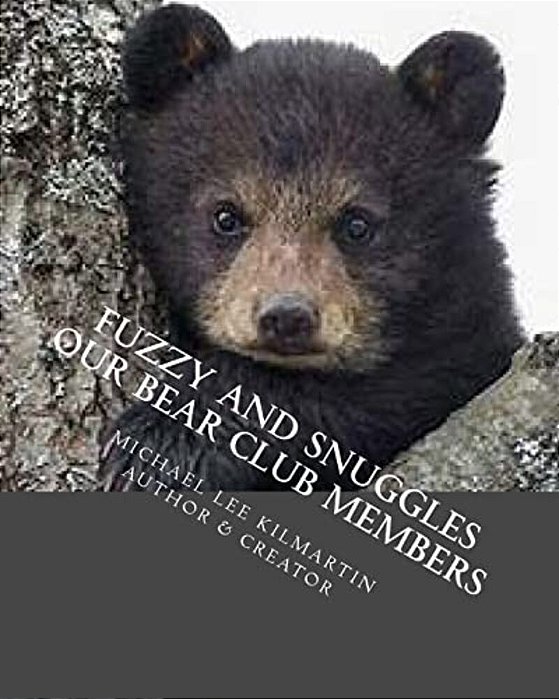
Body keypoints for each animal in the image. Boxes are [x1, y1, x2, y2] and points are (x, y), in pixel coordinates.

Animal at [99, 3, 524, 492]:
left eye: (357, 223)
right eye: (226, 216)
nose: (287, 316)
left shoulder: (467, 348)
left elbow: (401, 386)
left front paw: (162, 441)